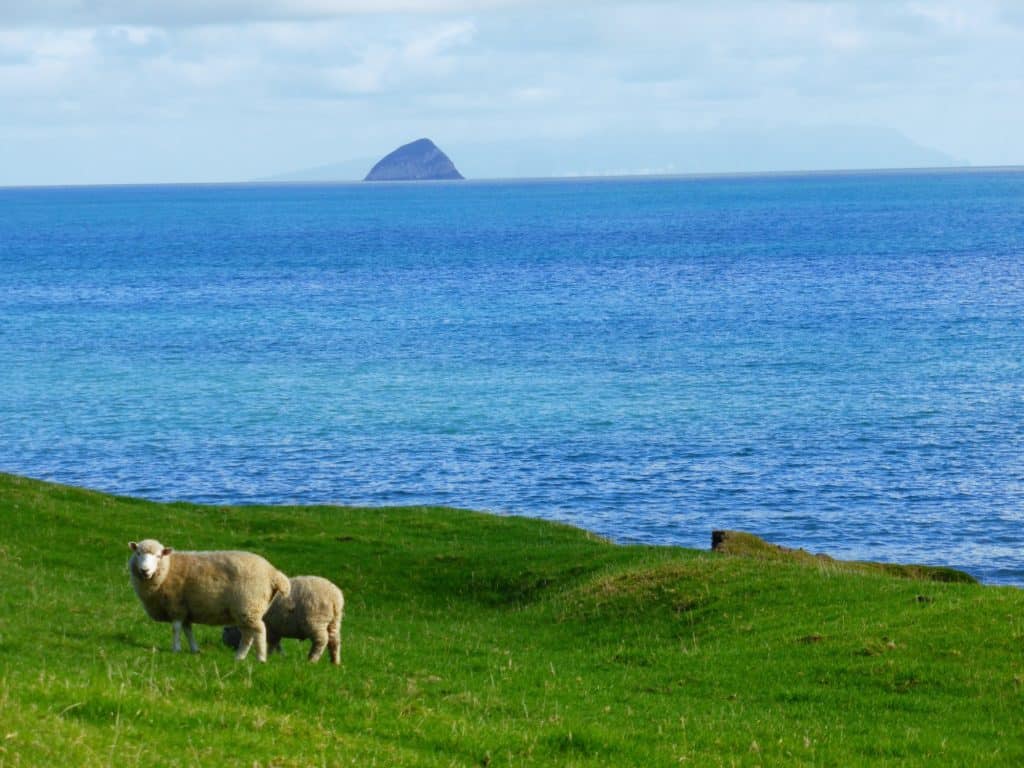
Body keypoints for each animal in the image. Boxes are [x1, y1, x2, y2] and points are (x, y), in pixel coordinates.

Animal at [127, 540, 290, 663]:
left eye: (158, 556)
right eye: (138, 553)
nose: (145, 570)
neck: (168, 569)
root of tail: (273, 573)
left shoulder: (176, 606)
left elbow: (176, 629)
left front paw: (176, 649)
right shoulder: (186, 609)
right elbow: (188, 630)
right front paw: (194, 649)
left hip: (249, 604)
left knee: (260, 630)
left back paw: (260, 659)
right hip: (245, 611)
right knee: (248, 634)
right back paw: (239, 657)